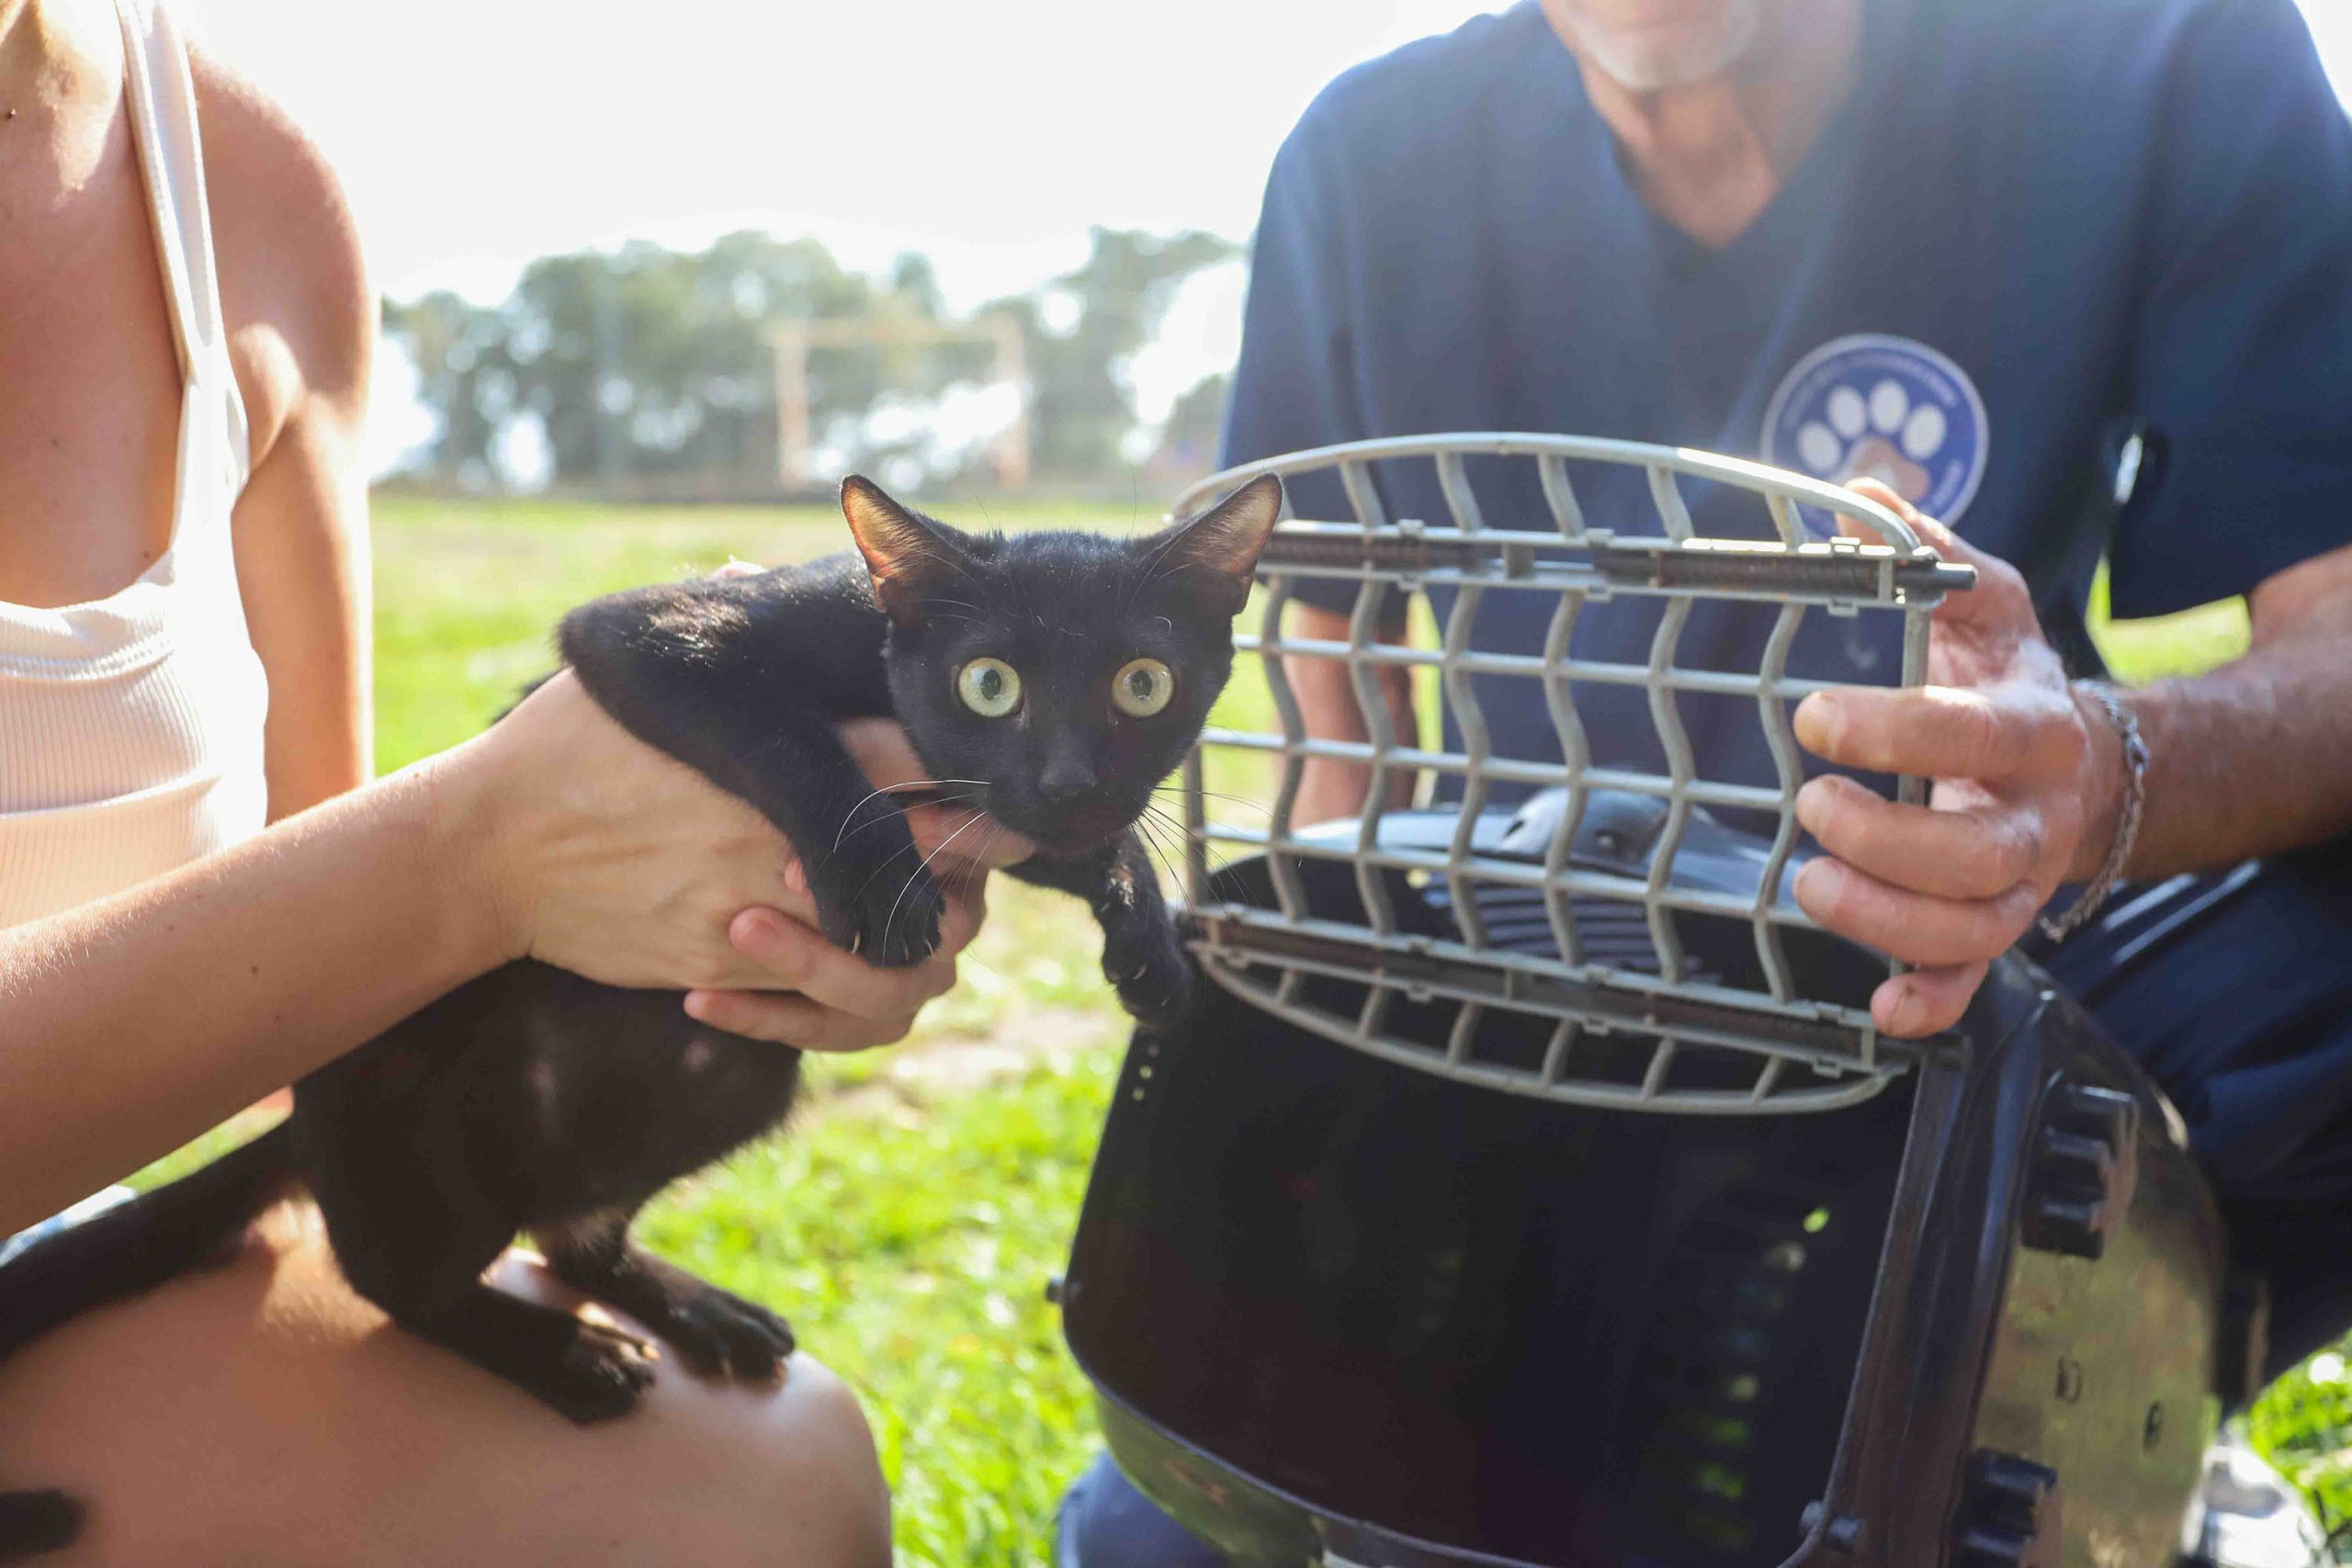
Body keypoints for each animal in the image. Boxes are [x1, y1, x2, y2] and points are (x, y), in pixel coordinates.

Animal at [0, 472, 1288, 1561]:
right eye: (990, 683)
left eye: (1142, 684)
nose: (1070, 779)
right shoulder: (648, 633)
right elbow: (787, 737)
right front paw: (880, 879)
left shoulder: (1002, 816)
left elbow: (1065, 845)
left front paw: (1149, 940)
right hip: (422, 1131)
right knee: (393, 1285)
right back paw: (560, 1354)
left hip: (735, 1077)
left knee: (573, 1229)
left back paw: (693, 1313)